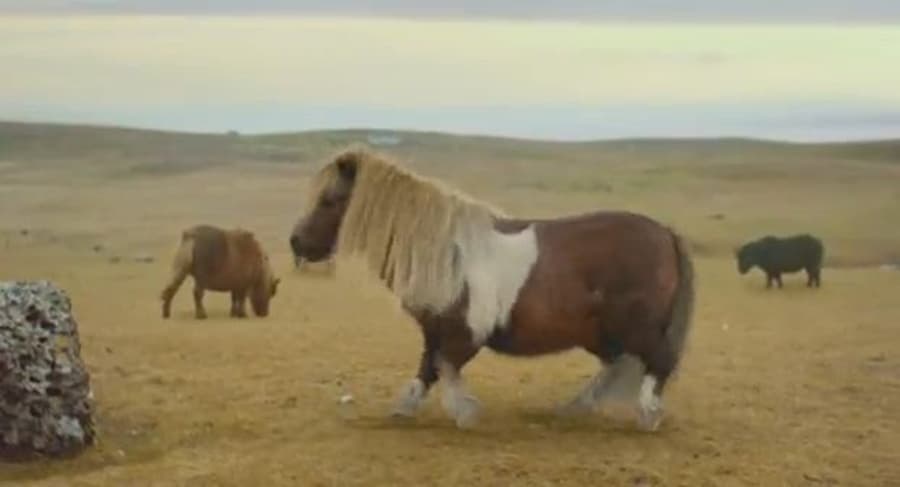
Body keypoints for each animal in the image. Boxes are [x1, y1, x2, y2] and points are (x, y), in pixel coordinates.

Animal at [289, 149, 695, 431]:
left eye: (329, 200)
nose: (296, 242)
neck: (445, 252)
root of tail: (665, 233)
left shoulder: (464, 333)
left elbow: (444, 367)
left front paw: (464, 412)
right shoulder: (434, 331)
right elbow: (427, 369)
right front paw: (406, 408)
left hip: (633, 327)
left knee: (658, 361)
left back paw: (647, 414)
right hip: (600, 332)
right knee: (619, 365)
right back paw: (575, 408)